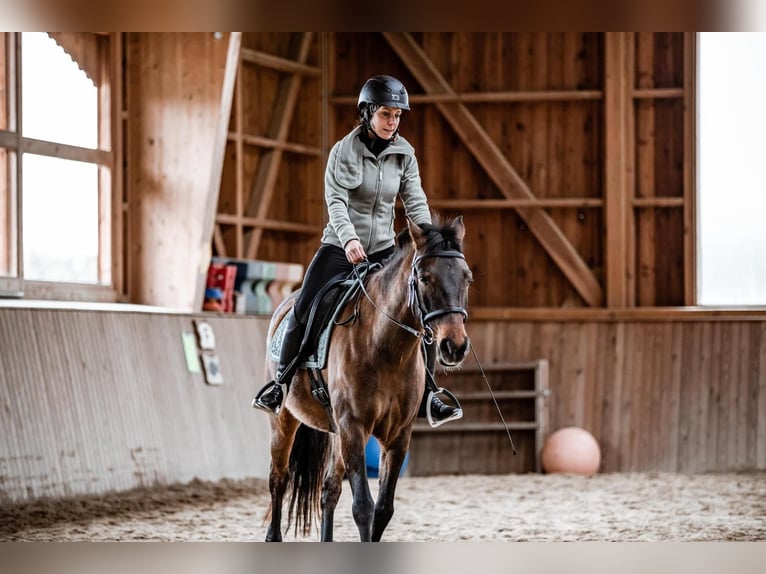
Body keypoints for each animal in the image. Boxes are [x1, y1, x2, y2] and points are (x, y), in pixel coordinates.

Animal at [262, 216, 474, 544]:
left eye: (467, 278)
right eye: (424, 278)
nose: (455, 346)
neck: (385, 347)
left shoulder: (397, 436)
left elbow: (383, 510)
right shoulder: (353, 427)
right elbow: (363, 507)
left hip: (335, 433)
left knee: (329, 490)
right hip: (283, 420)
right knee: (278, 479)